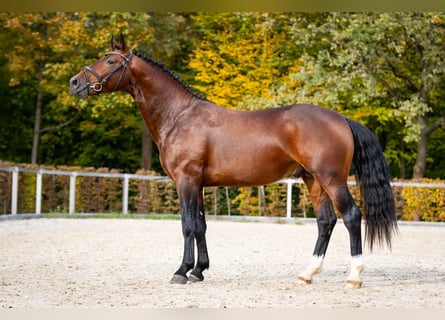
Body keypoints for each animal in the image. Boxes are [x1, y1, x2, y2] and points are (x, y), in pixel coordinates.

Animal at [69, 34, 396, 288]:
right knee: (325, 221)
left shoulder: (186, 180)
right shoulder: (198, 184)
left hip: (332, 180)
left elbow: (187, 225)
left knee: (351, 216)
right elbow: (201, 225)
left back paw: (354, 276)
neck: (179, 116)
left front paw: (181, 271)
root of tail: (341, 118)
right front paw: (199, 271)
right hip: (313, 180)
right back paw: (307, 273)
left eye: (111, 62)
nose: (75, 83)